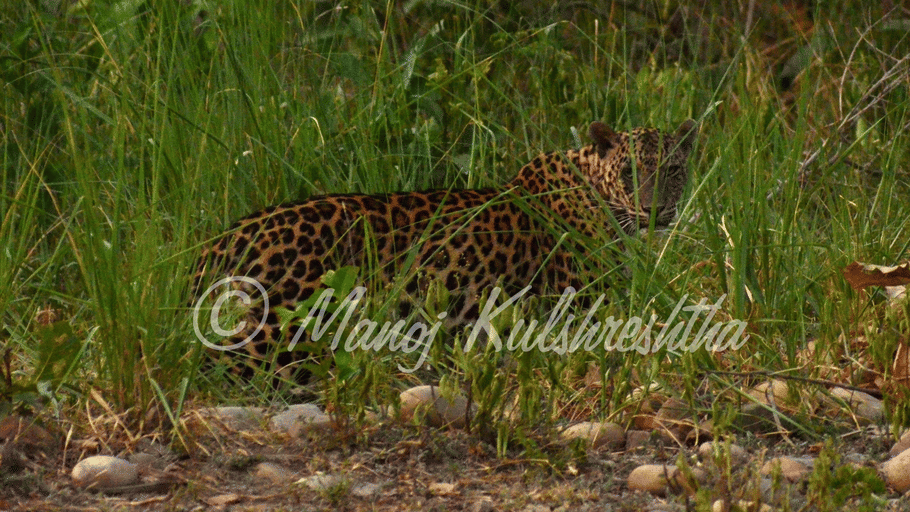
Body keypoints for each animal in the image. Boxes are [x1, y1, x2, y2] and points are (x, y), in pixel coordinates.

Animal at [193, 120, 698, 377]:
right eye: (630, 173)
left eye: (674, 171)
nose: (656, 211)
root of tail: (219, 241)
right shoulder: (585, 307)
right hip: (284, 324)